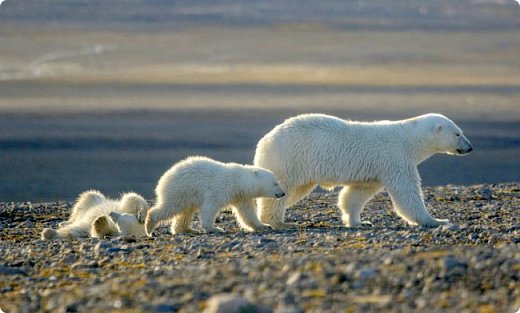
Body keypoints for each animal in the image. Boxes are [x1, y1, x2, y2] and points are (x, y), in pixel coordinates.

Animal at [254, 112, 474, 227]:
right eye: (458, 133)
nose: (470, 147)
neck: (408, 138)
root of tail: (264, 140)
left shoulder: (373, 170)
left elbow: (356, 193)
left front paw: (359, 222)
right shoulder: (394, 157)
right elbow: (407, 192)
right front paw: (437, 220)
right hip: (289, 158)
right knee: (280, 191)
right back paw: (278, 222)